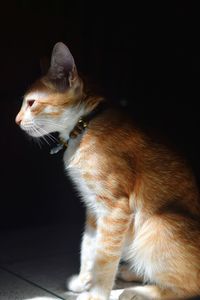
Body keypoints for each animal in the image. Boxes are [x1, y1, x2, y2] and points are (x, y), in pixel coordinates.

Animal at [15, 42, 200, 300]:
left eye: (31, 103)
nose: (16, 120)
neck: (84, 125)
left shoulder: (115, 208)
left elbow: (104, 258)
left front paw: (96, 293)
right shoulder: (93, 208)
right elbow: (89, 247)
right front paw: (85, 280)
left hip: (157, 225)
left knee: (189, 286)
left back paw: (134, 292)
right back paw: (131, 273)